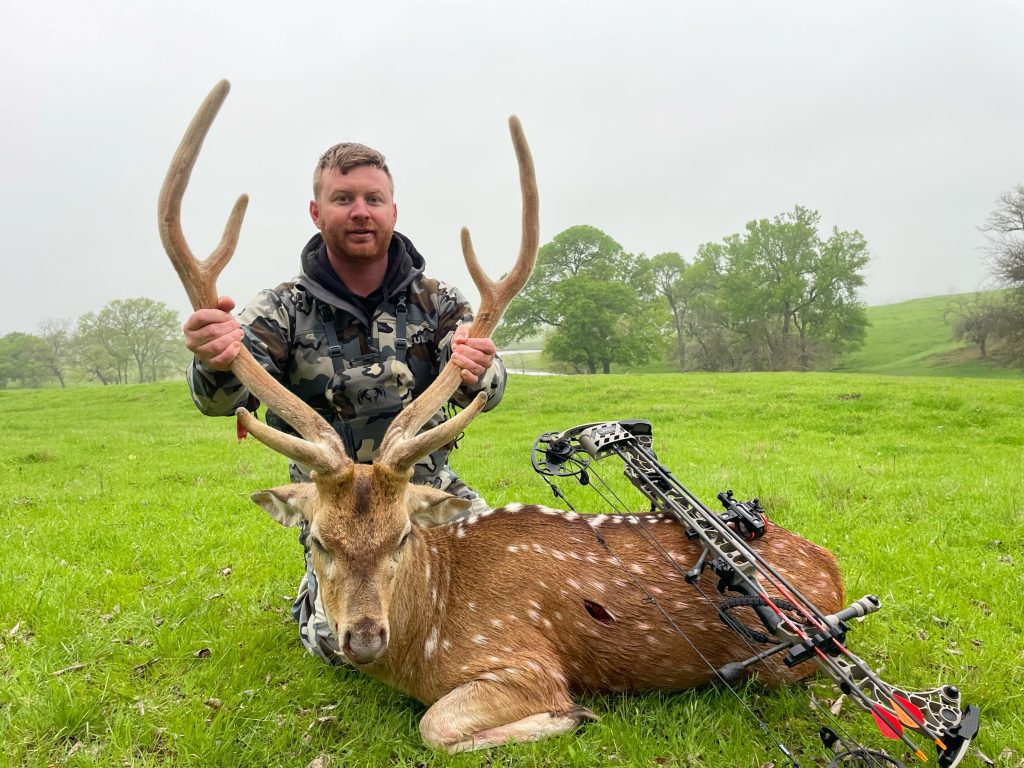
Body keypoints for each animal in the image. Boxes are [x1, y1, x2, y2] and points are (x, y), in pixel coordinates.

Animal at [158, 81, 846, 753]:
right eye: (318, 540)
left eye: (401, 536)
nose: (364, 639)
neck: (428, 636)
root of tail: (833, 570)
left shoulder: (524, 660)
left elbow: (435, 725)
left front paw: (573, 715)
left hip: (780, 663)